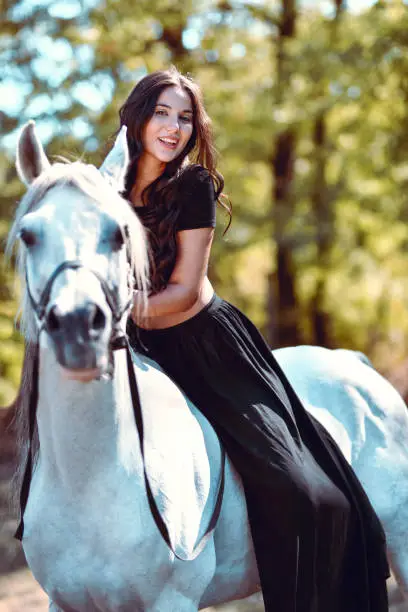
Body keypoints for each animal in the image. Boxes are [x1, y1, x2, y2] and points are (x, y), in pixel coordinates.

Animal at [7, 120, 408, 612]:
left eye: (119, 234)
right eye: (29, 235)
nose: (78, 327)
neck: (91, 477)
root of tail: (357, 364)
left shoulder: (171, 600)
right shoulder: (64, 602)